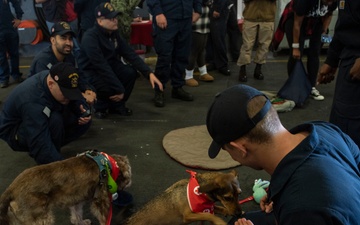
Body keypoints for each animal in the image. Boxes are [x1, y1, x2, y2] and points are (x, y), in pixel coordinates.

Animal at [0, 149, 132, 225]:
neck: (107, 163)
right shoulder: (100, 200)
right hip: (41, 218)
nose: (129, 183)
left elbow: (76, 215)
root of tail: (11, 189)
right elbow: (103, 218)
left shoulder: (76, 199)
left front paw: (81, 222)